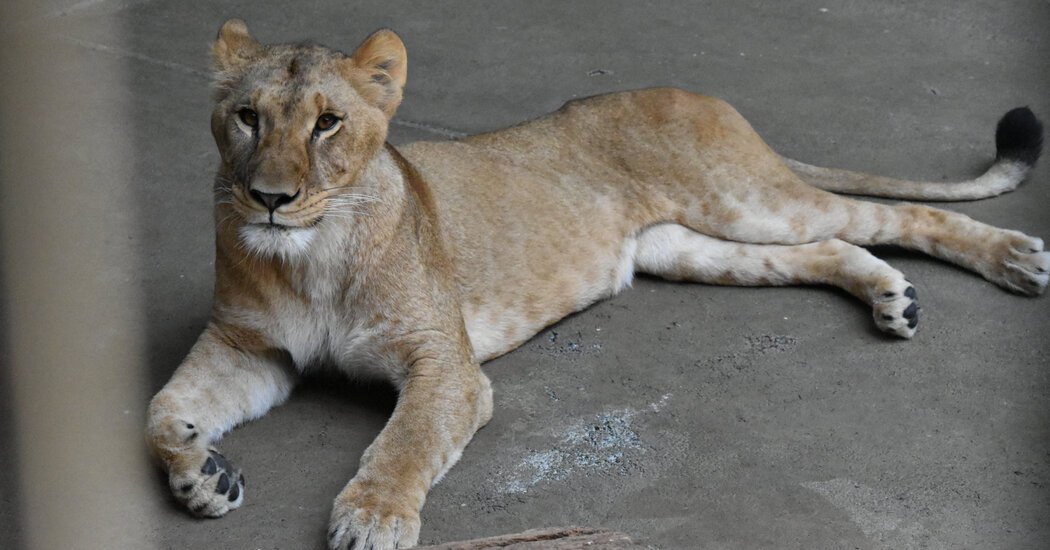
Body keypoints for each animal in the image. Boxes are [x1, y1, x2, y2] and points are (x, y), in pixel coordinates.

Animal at [146, 19, 1046, 550]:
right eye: (248, 117)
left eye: (327, 123)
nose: (269, 197)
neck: (311, 254)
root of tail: (696, 90)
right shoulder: (252, 348)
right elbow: (159, 412)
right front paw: (203, 474)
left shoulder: (445, 363)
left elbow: (405, 441)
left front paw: (373, 518)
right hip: (692, 247)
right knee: (831, 246)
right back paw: (893, 297)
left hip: (748, 201)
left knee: (888, 212)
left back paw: (1014, 260)